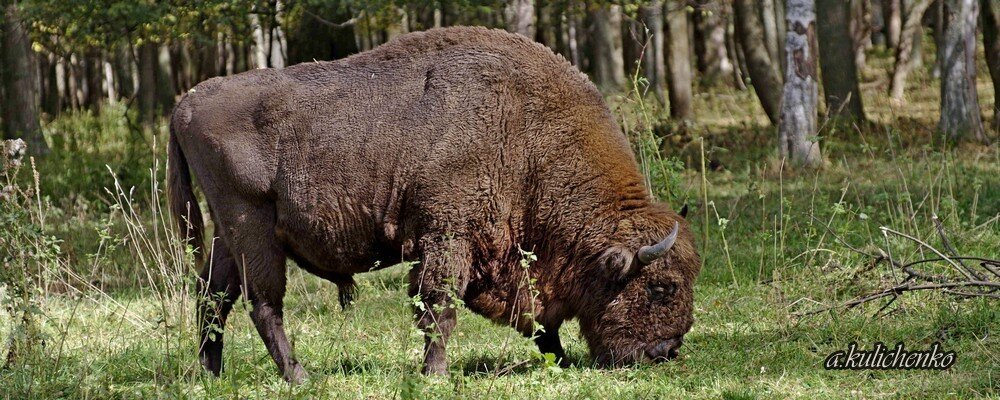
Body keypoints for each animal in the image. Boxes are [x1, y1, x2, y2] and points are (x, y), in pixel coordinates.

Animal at [168, 25, 700, 382]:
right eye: (661, 288)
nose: (667, 350)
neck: (526, 133)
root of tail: (185, 103)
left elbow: (532, 318)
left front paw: (559, 358)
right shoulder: (447, 237)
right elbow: (439, 306)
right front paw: (436, 373)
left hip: (226, 235)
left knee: (214, 297)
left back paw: (211, 372)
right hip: (252, 228)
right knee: (262, 303)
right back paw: (298, 376)